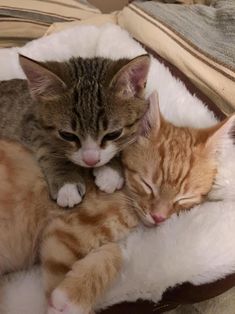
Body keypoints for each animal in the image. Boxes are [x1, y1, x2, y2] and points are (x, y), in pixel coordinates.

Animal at [0, 54, 150, 207]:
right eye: (67, 135)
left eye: (113, 134)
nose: (90, 161)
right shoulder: (32, 123)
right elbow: (49, 148)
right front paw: (67, 183)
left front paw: (111, 171)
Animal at [0, 91, 233, 314]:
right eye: (147, 185)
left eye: (184, 198)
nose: (158, 217)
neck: (127, 196)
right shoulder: (62, 232)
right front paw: (70, 300)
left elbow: (116, 252)